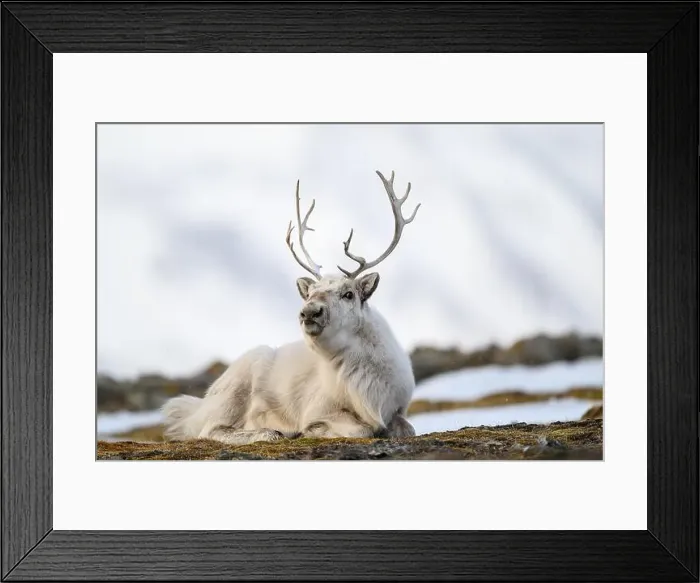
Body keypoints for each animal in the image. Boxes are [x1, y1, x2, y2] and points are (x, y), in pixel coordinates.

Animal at [161, 170, 421, 445]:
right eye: (309, 293)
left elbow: (408, 428)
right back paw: (271, 432)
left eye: (348, 293)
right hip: (235, 388)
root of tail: (199, 407)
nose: (309, 312)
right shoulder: (318, 409)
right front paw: (308, 430)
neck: (369, 390)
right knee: (210, 430)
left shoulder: (399, 408)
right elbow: (360, 429)